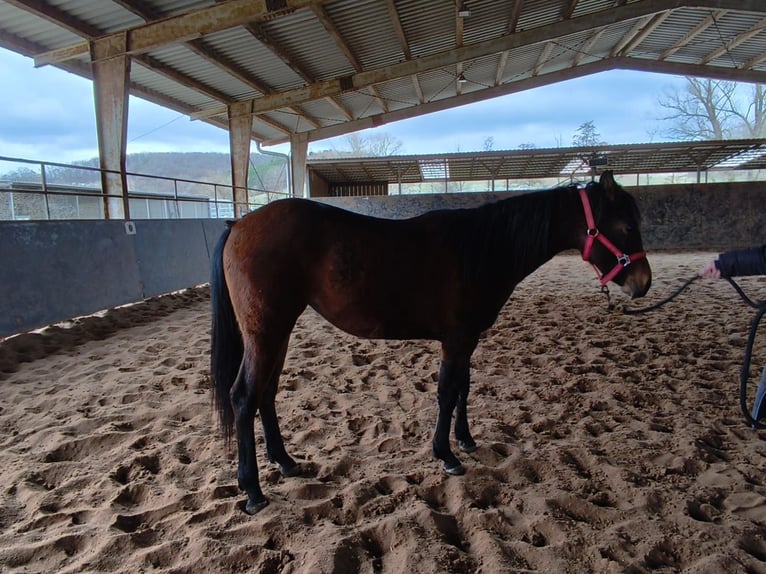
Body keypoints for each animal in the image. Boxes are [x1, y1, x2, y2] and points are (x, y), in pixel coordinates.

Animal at [210, 170, 652, 514]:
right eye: (627, 227)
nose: (643, 283)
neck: (482, 249)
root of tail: (238, 225)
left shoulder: (468, 338)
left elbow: (463, 389)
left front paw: (466, 440)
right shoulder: (456, 339)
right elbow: (446, 392)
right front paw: (447, 455)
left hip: (277, 333)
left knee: (266, 394)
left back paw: (285, 462)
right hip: (265, 333)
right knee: (244, 396)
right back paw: (253, 491)